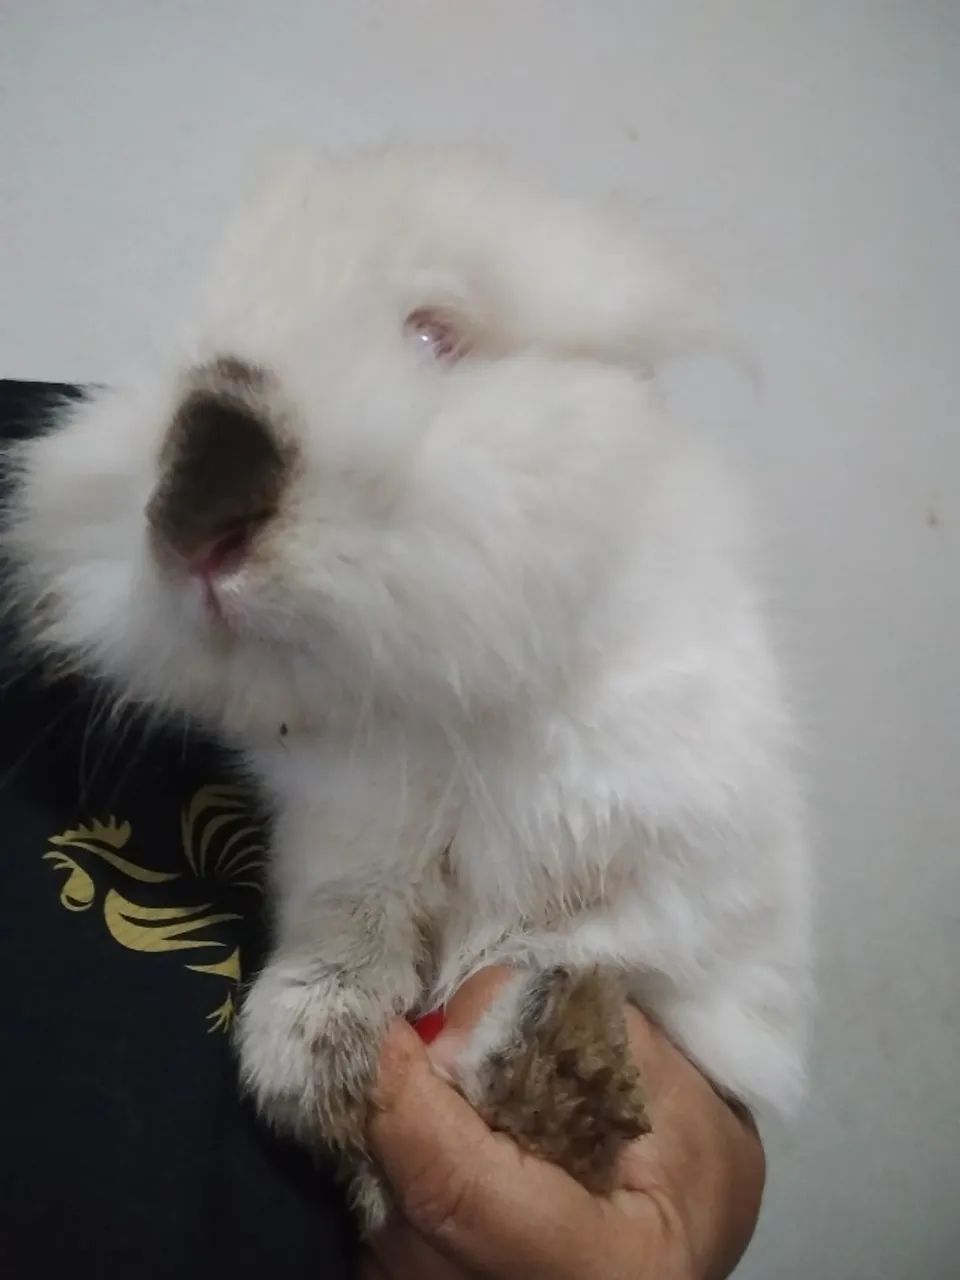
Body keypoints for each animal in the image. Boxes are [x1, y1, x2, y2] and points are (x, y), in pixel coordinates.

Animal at [2, 144, 811, 1232]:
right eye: (190, 350)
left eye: (435, 334)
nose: (193, 515)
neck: (441, 714)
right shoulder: (349, 841)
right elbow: (346, 934)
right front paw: (318, 1056)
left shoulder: (674, 870)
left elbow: (576, 944)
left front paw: (559, 1064)